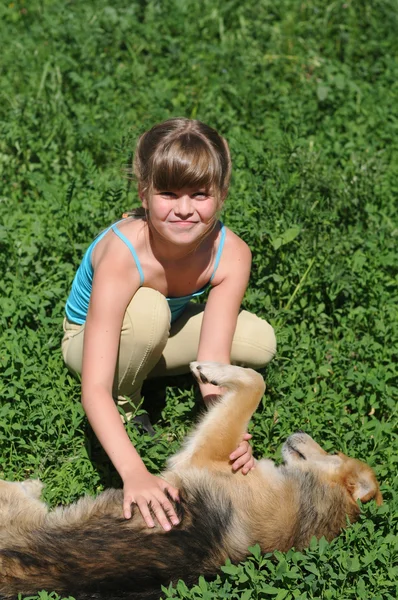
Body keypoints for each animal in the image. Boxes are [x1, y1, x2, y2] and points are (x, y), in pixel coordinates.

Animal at [0, 360, 380, 600]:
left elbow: (255, 383)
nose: (300, 432)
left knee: (15, 488)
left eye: (333, 452)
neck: (309, 508)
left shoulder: (204, 453)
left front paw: (211, 369)